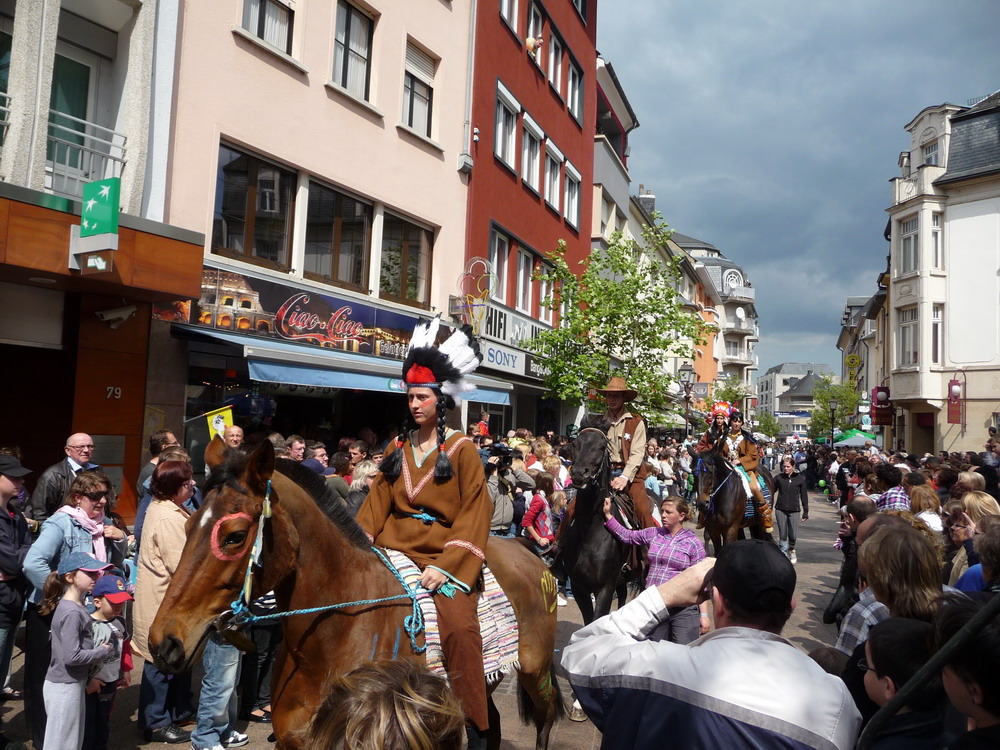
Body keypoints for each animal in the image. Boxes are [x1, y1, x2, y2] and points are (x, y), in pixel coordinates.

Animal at [146, 440, 564, 750]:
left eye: (234, 536)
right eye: (187, 527)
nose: (164, 641)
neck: (330, 642)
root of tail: (527, 552)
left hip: (534, 669)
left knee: (543, 720)